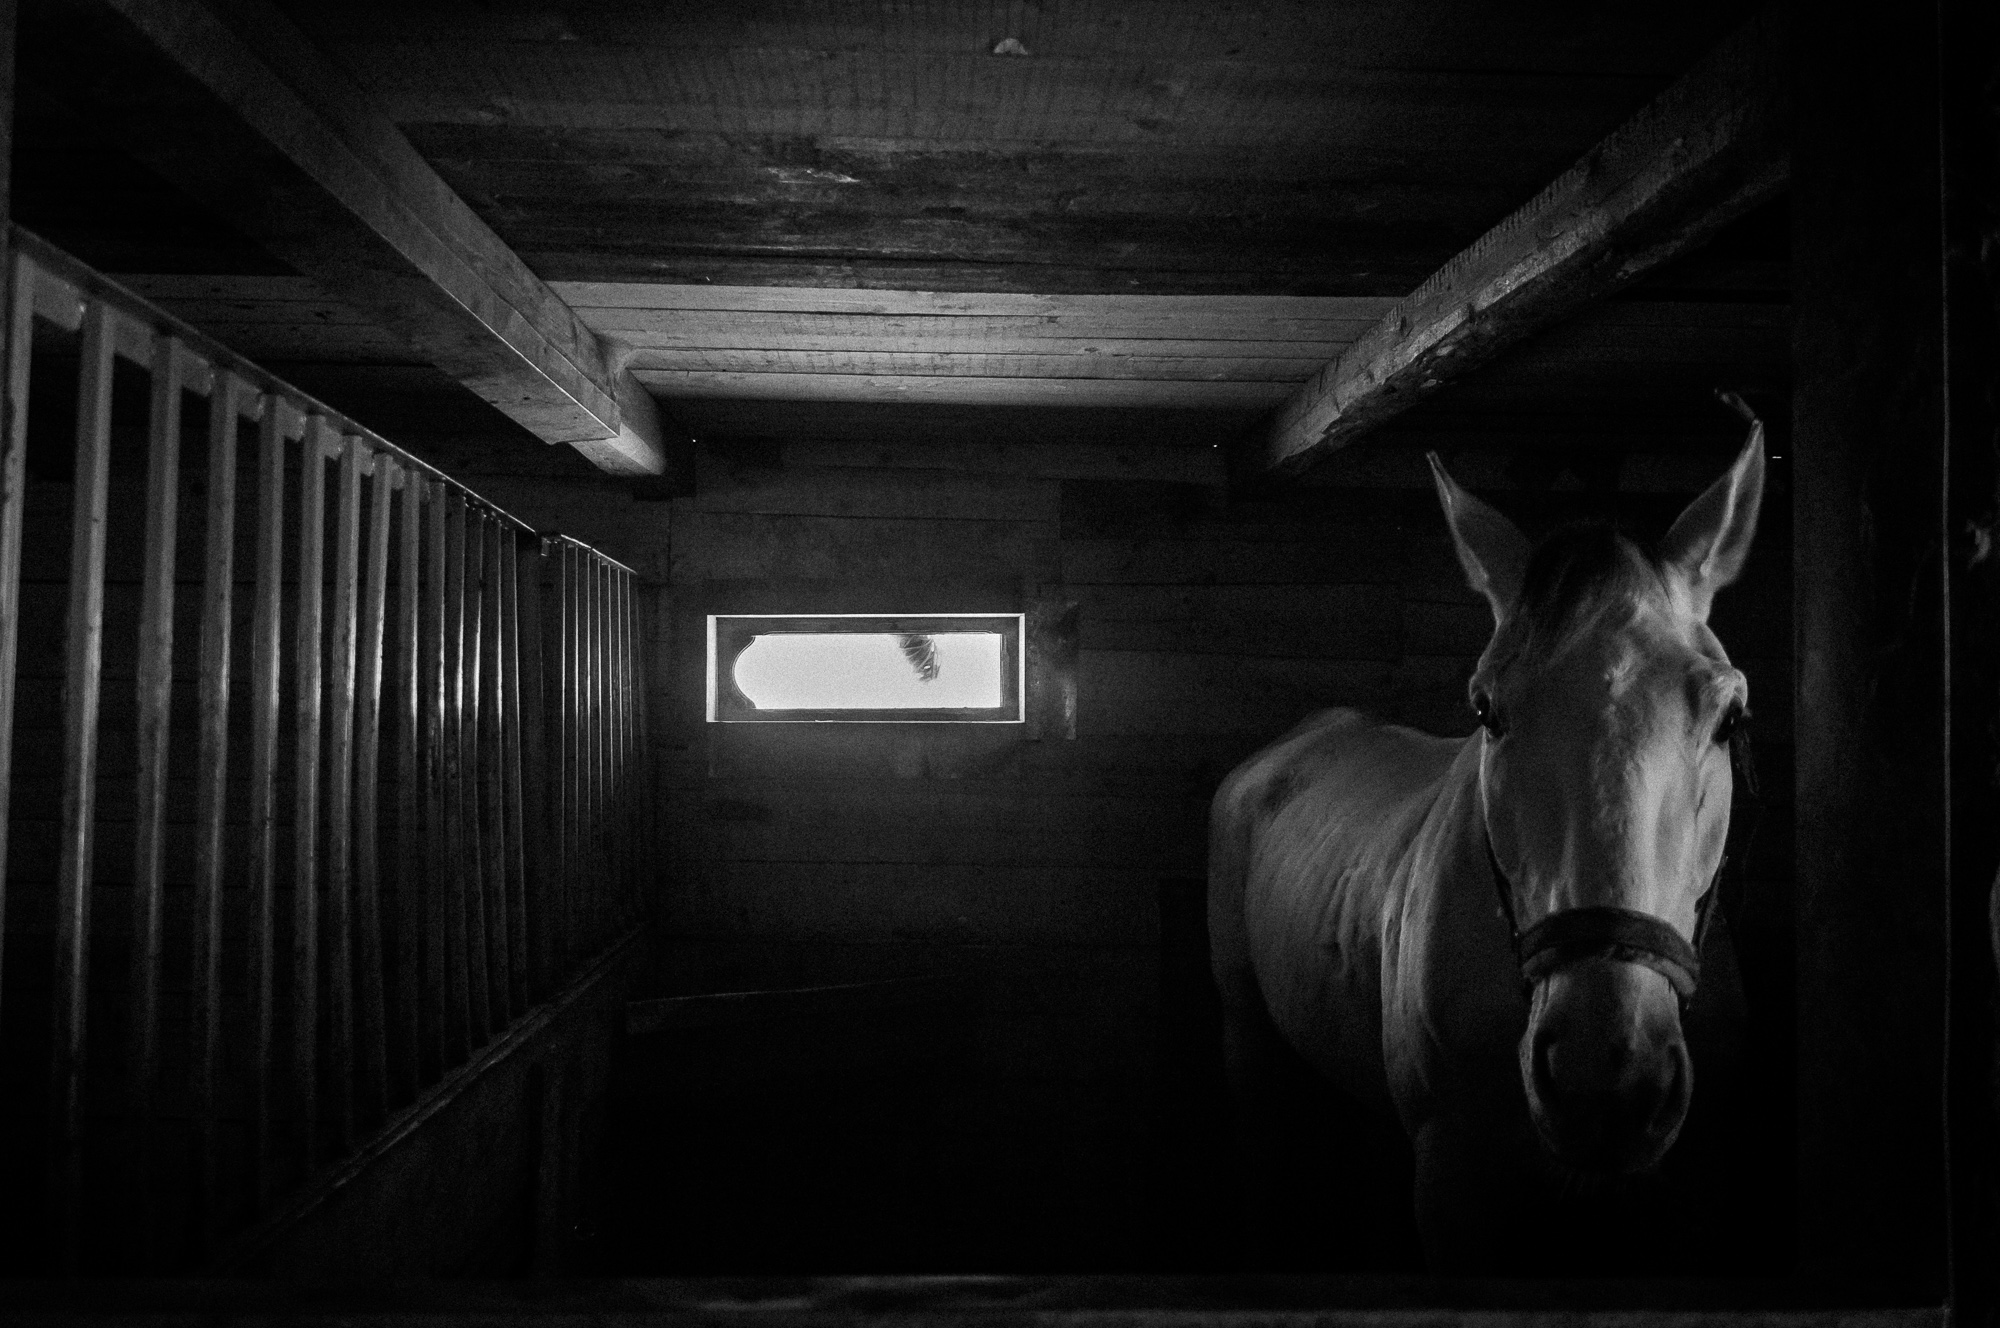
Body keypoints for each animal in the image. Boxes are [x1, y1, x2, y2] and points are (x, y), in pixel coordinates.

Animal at [1208, 411, 1765, 1274]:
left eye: (1729, 717)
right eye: (1486, 711)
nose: (1603, 1075)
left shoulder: (1691, 1191)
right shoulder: (1456, 1182)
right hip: (1248, 1039)